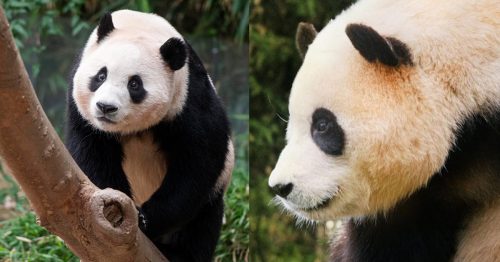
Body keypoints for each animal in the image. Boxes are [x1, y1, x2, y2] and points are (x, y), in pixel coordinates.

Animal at [65, 9, 234, 260]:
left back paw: (179, 253)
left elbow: (198, 162)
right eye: (101, 76)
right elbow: (91, 153)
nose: (106, 107)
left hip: (214, 195)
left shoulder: (188, 97)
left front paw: (145, 219)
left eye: (134, 84)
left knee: (204, 222)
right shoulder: (81, 107)